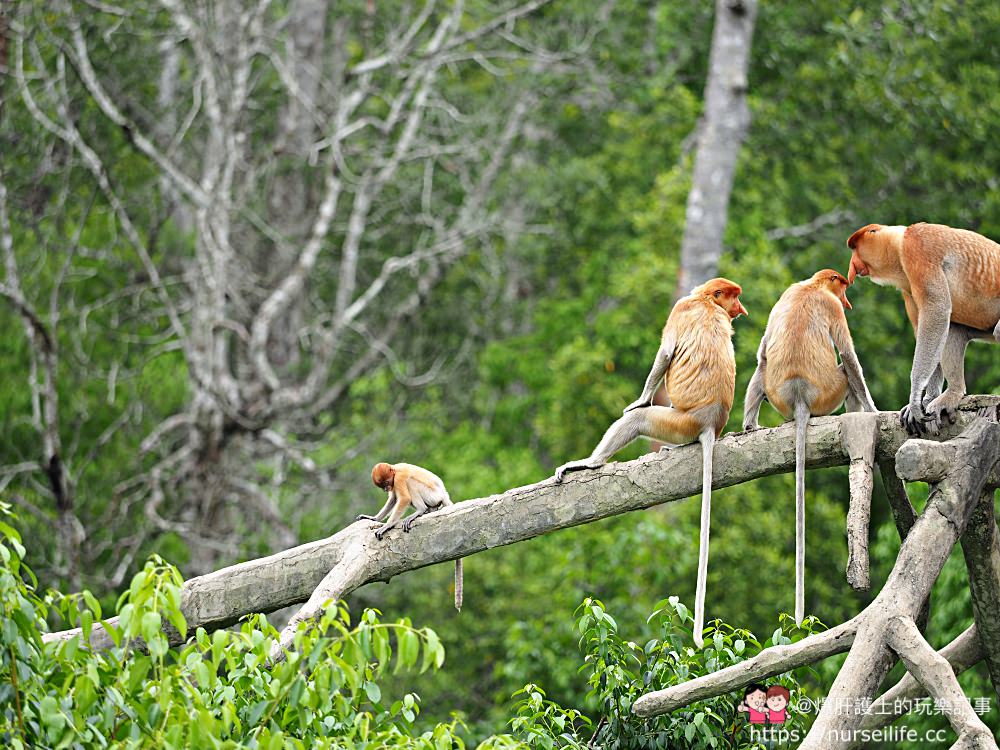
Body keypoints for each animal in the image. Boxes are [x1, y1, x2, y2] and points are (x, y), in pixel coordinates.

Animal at [364, 462, 464, 612]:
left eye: (386, 483)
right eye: (383, 486)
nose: (386, 488)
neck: (395, 469)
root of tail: (444, 495)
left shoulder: (398, 479)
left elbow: (404, 498)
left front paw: (386, 526)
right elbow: (393, 498)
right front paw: (374, 518)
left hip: (431, 495)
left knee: (410, 483)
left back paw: (421, 510)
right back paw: (429, 510)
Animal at [552, 280, 748, 648]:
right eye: (734, 297)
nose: (740, 310)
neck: (704, 301)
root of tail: (709, 424)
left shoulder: (680, 309)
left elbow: (665, 354)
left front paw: (639, 400)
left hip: (676, 421)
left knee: (639, 420)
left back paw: (591, 462)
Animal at [744, 270, 876, 628]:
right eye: (841, 286)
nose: (847, 296)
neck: (811, 287)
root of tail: (800, 396)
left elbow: (762, 349)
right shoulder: (833, 308)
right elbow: (849, 356)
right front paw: (875, 410)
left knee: (762, 364)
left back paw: (749, 427)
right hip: (831, 391)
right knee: (845, 371)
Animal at [844, 222, 1000, 434]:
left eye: (855, 248)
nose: (851, 268)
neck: (899, 244)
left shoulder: (918, 249)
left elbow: (936, 310)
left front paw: (916, 398)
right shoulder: (907, 286)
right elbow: (927, 327)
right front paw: (924, 401)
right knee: (953, 331)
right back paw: (952, 394)